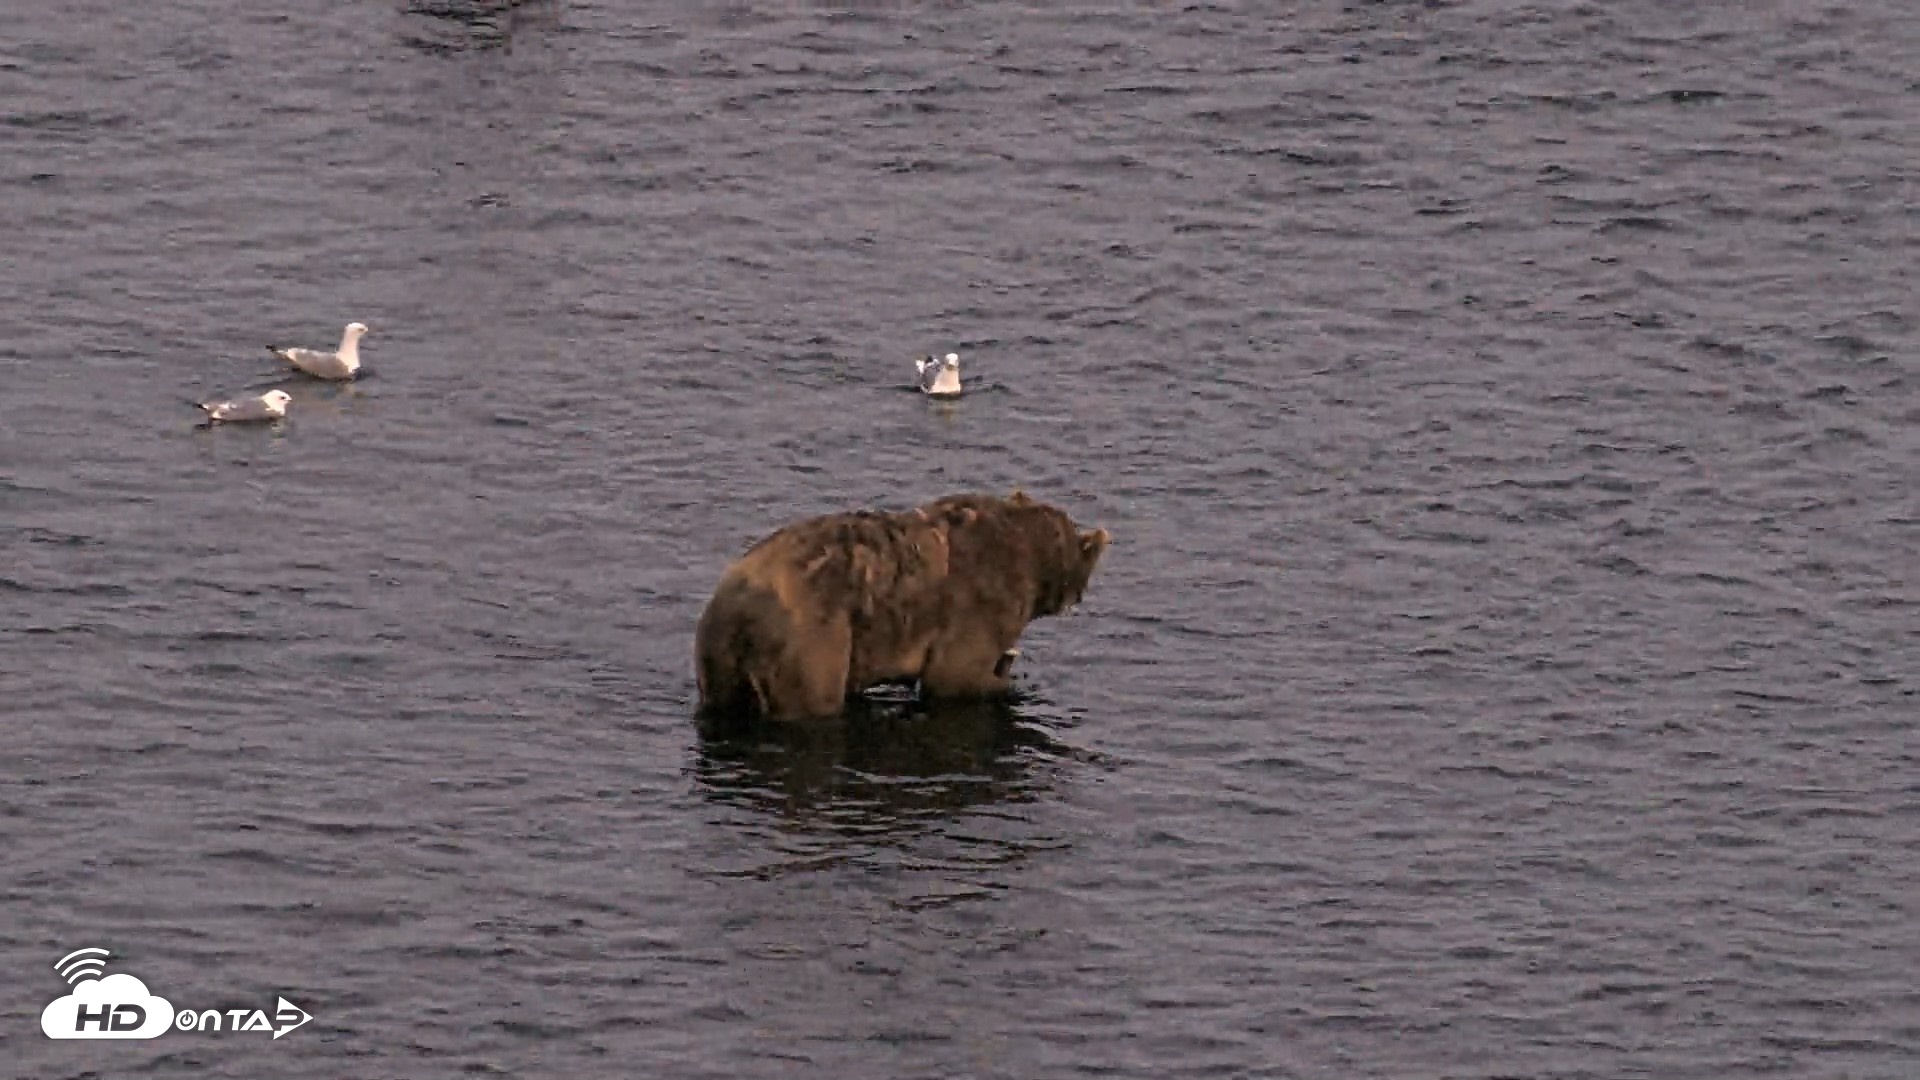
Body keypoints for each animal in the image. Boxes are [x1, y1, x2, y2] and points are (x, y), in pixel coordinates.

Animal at [694, 491, 1111, 722]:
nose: (1078, 599)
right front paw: (1004, 674)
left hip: (718, 655)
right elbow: (954, 677)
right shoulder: (980, 601)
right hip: (812, 638)